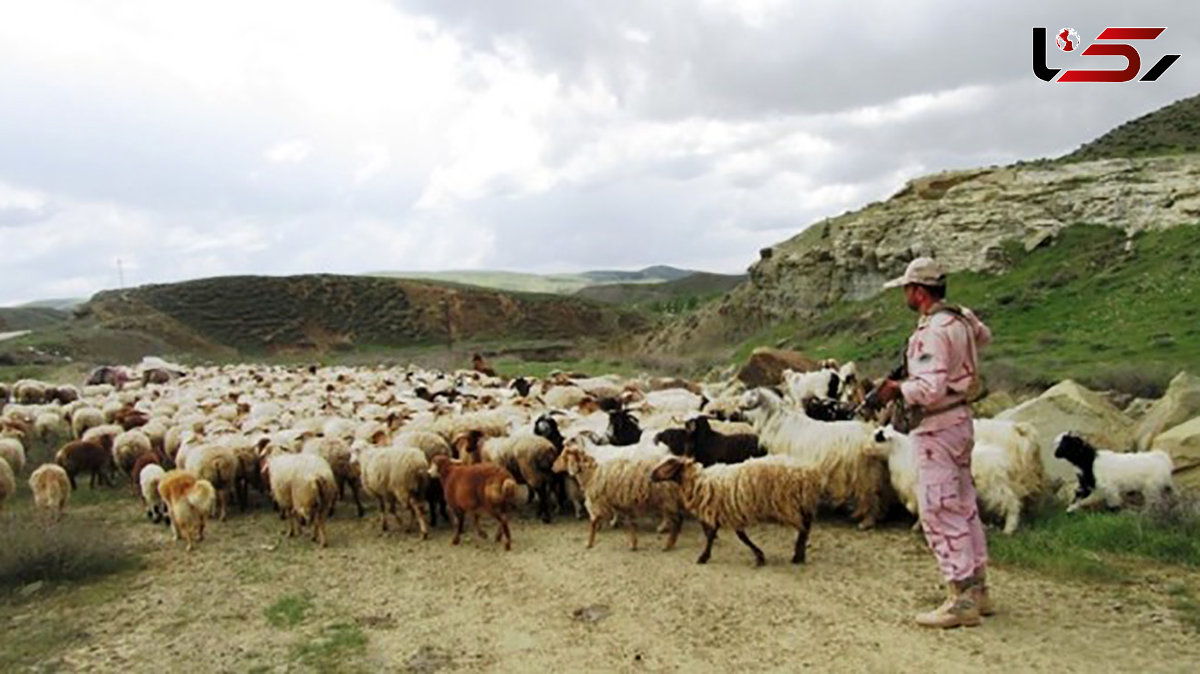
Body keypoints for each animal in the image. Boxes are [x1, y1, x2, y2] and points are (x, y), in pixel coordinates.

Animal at [549, 441, 681, 551]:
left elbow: (593, 522)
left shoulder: (599, 501)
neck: (592, 474)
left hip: (666, 497)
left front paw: (589, 543)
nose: (552, 467)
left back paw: (667, 543)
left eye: (563, 457)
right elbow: (629, 523)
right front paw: (633, 543)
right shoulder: (620, 502)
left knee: (676, 520)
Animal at [652, 450, 820, 566]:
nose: (651, 475)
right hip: (797, 503)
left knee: (804, 527)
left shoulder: (722, 511)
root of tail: (807, 472)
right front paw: (759, 556)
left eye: (670, 464)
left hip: (790, 503)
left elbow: (717, 535)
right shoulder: (726, 512)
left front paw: (703, 557)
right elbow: (737, 536)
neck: (700, 482)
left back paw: (798, 556)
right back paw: (799, 555)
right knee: (805, 527)